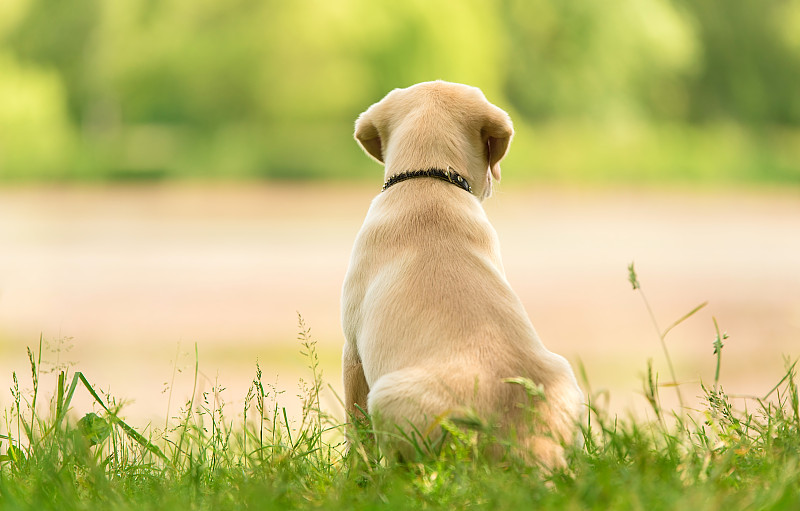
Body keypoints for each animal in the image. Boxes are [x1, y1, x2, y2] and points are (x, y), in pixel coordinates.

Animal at [340, 81, 580, 468]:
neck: (428, 179)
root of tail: (521, 444)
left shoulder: (353, 351)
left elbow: (355, 432)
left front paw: (353, 475)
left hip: (388, 395)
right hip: (563, 374)